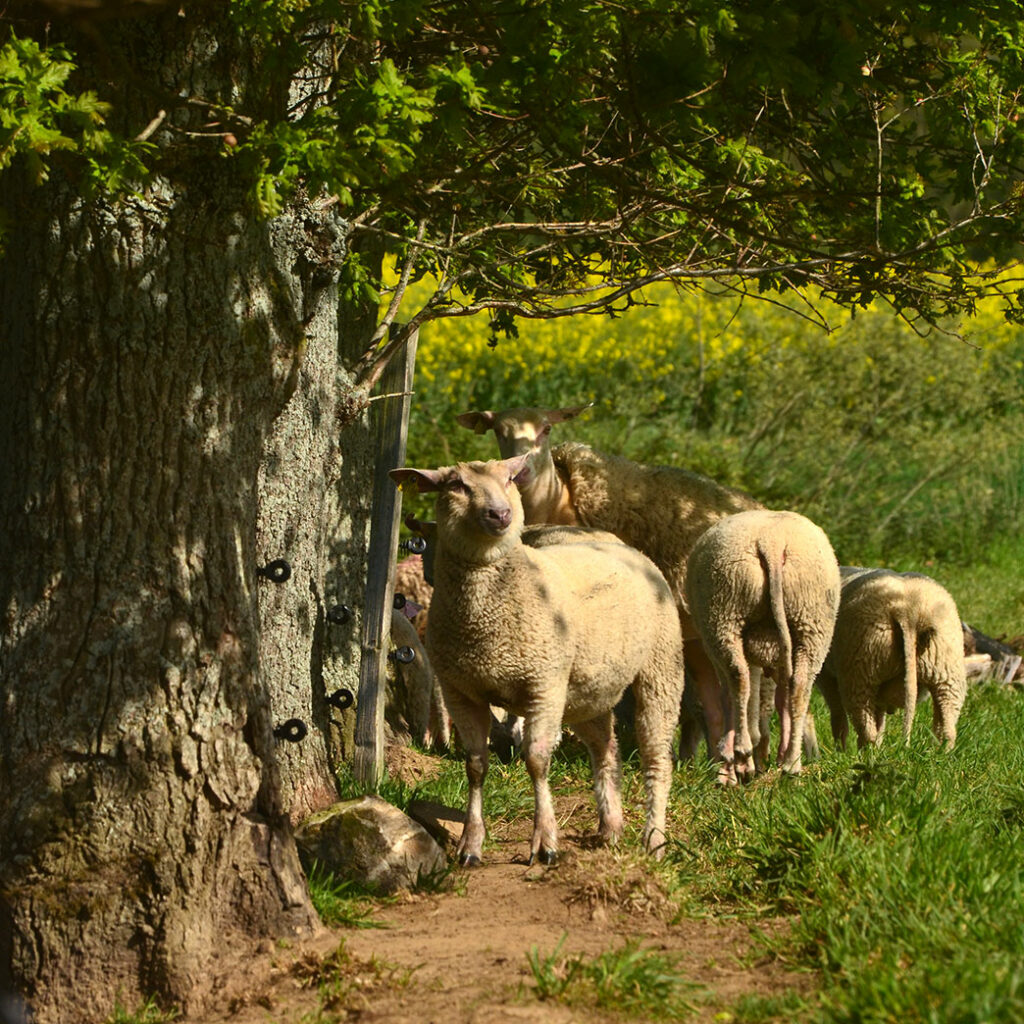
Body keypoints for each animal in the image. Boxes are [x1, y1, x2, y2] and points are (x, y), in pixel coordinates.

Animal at [387, 456, 684, 864]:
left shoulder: (543, 684)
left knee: (656, 757)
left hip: (661, 666)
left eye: (510, 480)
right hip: (586, 691)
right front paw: (471, 844)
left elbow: (537, 761)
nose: (501, 514)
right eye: (456, 485)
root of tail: (626, 547)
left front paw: (545, 842)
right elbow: (475, 765)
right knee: (606, 749)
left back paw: (654, 839)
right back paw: (610, 827)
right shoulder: (460, 690)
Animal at [458, 403, 761, 778]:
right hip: (695, 633)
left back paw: (741, 762)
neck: (559, 501)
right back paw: (718, 766)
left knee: (739, 688)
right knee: (714, 694)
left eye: (546, 429)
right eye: (499, 431)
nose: (522, 471)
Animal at [679, 507, 839, 778]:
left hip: (724, 613)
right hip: (812, 621)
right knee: (799, 688)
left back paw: (740, 755)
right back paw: (791, 763)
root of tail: (772, 542)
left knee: (738, 679)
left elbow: (735, 695)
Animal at [815, 565, 966, 749]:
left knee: (867, 729)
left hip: (860, 669)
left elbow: (838, 715)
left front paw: (840, 750)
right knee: (947, 727)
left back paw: (864, 754)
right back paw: (938, 752)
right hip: (947, 671)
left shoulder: (825, 675)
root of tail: (909, 611)